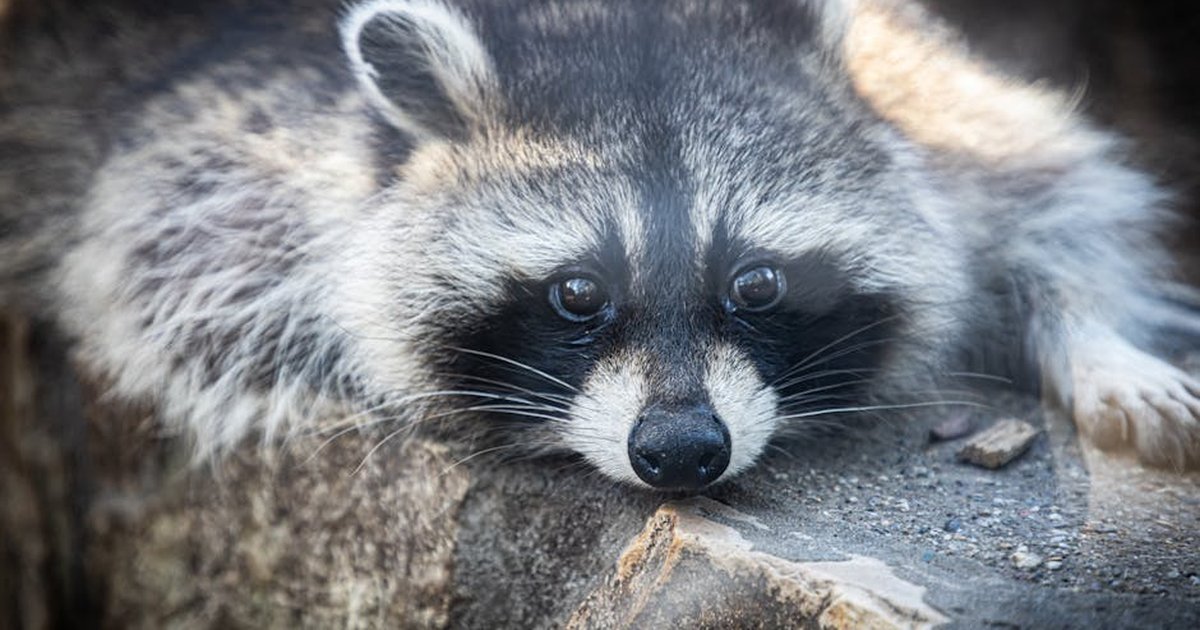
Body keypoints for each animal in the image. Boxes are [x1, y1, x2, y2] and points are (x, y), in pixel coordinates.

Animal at [1, 0, 1197, 490]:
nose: (680, 453)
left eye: (757, 282)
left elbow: (1049, 189)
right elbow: (170, 262)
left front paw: (1094, 336)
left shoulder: (917, 93)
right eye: (577, 294)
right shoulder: (220, 154)